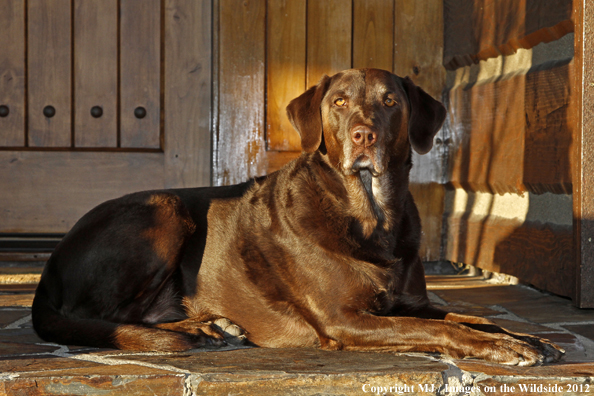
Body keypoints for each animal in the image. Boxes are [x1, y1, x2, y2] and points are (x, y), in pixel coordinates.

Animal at [32, 67, 560, 366]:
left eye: (390, 101)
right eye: (339, 102)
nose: (364, 135)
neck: (372, 215)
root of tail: (50, 267)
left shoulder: (409, 303)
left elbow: (472, 317)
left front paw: (524, 336)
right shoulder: (344, 320)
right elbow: (443, 329)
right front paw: (508, 348)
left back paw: (209, 325)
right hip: (164, 210)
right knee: (106, 319)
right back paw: (198, 330)